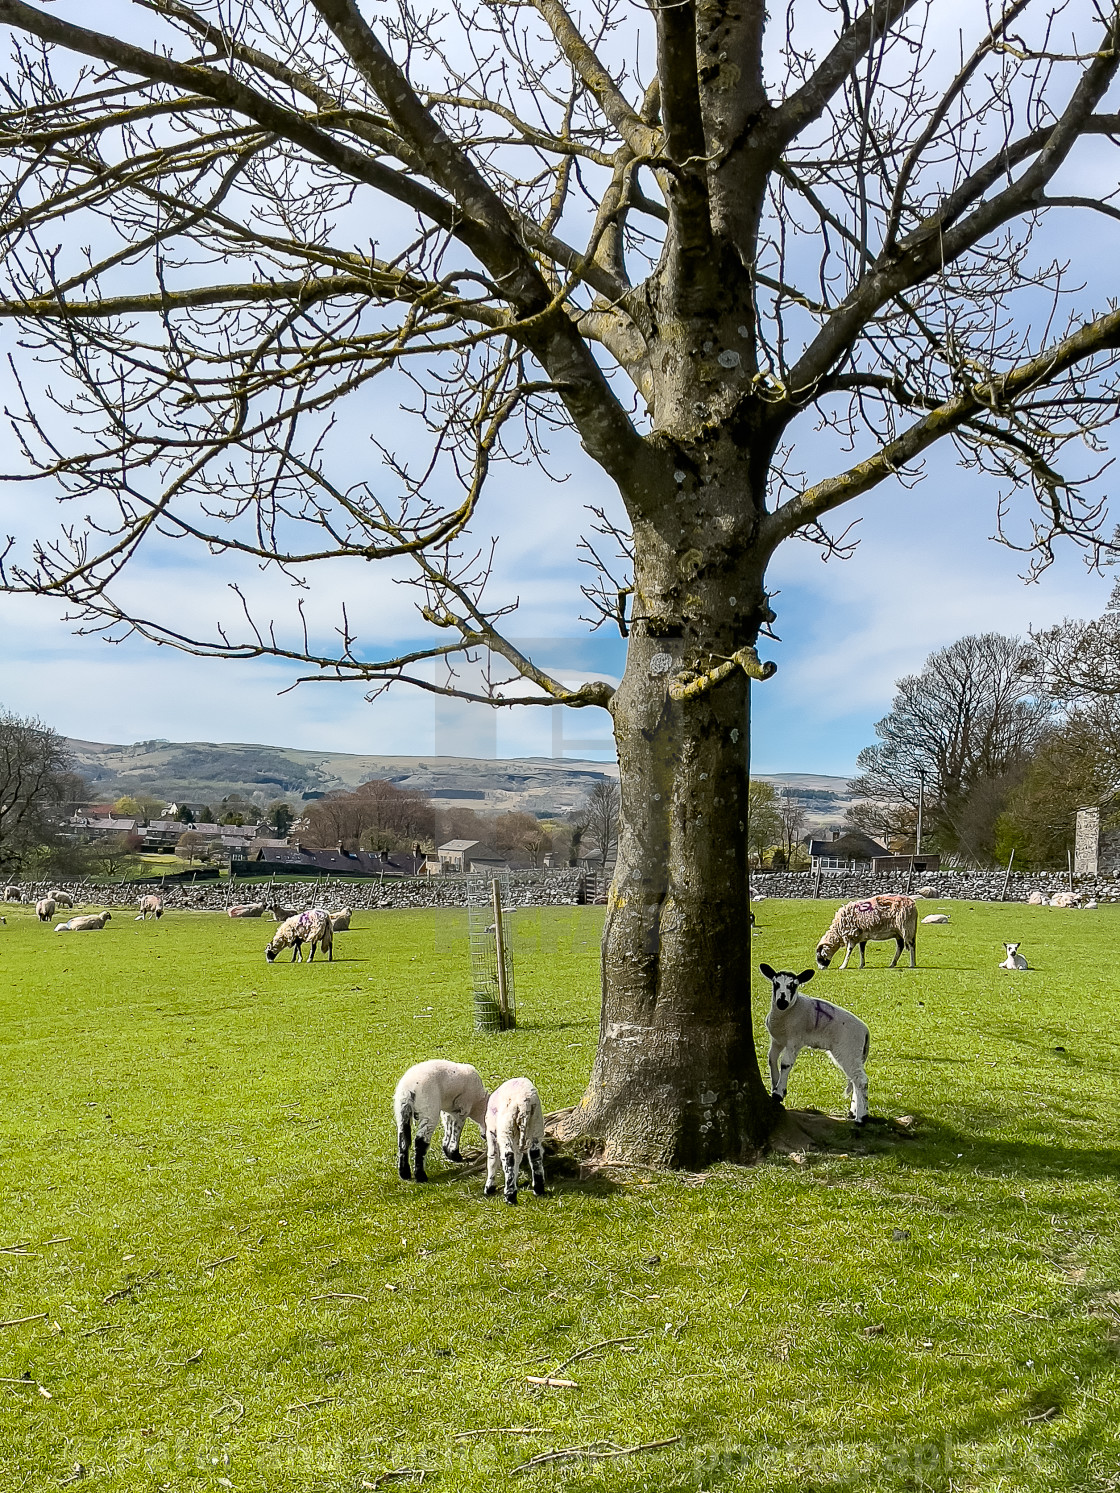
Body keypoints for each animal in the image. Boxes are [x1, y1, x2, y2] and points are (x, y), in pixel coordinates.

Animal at [758, 967, 872, 1122]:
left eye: (794, 985)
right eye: (775, 983)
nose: (782, 1002)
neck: (786, 1014)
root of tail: (866, 1031)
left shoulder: (795, 1040)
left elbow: (785, 1064)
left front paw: (779, 1093)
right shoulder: (777, 1040)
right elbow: (771, 1060)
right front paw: (774, 1086)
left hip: (849, 1050)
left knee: (861, 1080)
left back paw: (861, 1118)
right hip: (853, 1054)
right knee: (855, 1079)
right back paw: (853, 1112)